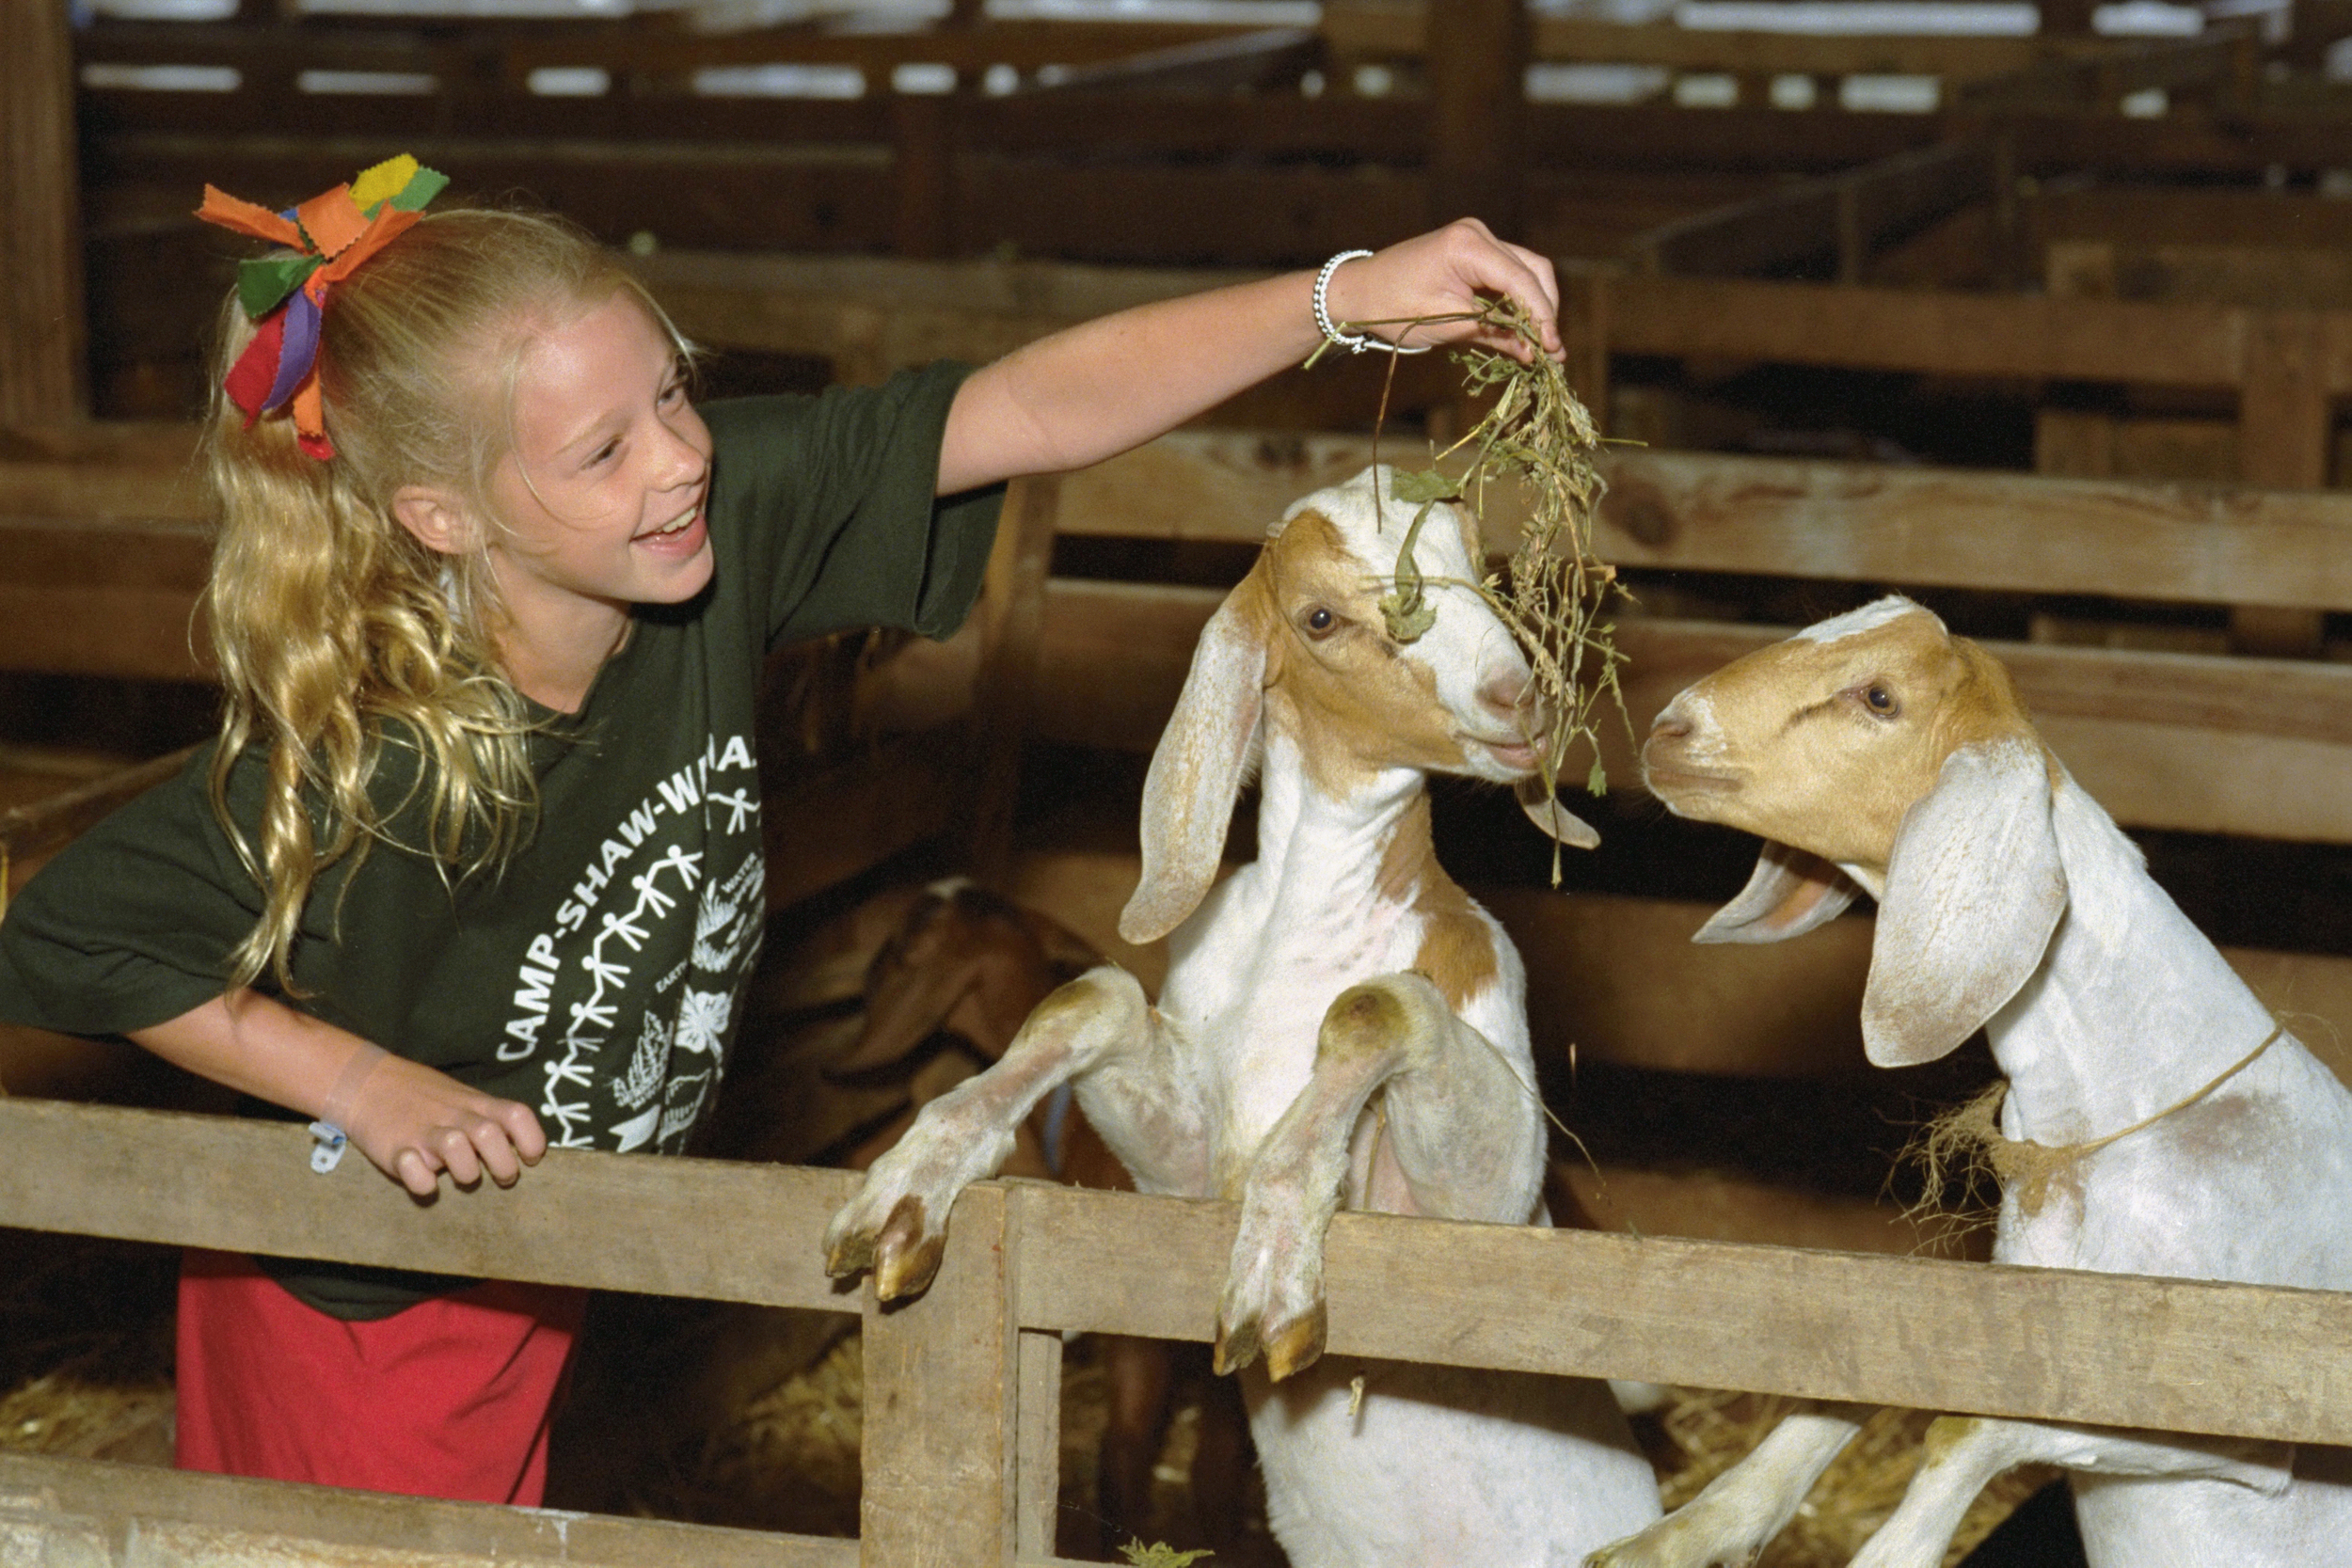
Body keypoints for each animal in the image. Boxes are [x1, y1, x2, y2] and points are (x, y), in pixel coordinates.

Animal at [823, 465, 1656, 1568]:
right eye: (1319, 616)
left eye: (1483, 569)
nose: (1514, 693)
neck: (1303, 926)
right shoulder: (1172, 1185)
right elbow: (1094, 995)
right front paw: (908, 1180)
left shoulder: (1485, 1206)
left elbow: (1379, 1000)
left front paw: (1273, 1258)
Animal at [1599, 596, 2352, 1568]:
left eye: (1880, 697)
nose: (1668, 729)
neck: (2132, 1099)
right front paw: (1680, 1534)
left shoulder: (2247, 1406)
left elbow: (1971, 1422)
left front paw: (1890, 1552)